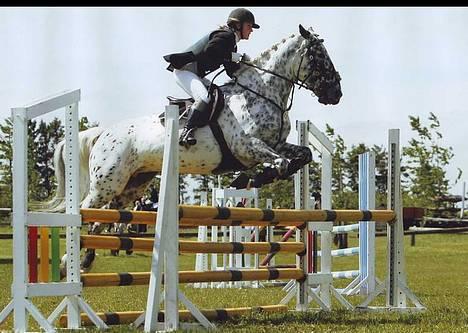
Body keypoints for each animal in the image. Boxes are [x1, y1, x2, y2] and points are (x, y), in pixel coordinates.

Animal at [45, 24, 342, 272]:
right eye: (319, 57)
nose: (336, 94)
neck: (262, 93)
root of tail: (104, 132)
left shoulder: (277, 144)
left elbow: (303, 155)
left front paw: (248, 179)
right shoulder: (248, 147)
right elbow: (280, 164)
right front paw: (252, 178)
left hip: (131, 186)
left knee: (104, 216)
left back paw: (86, 259)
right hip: (106, 183)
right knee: (84, 210)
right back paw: (67, 263)